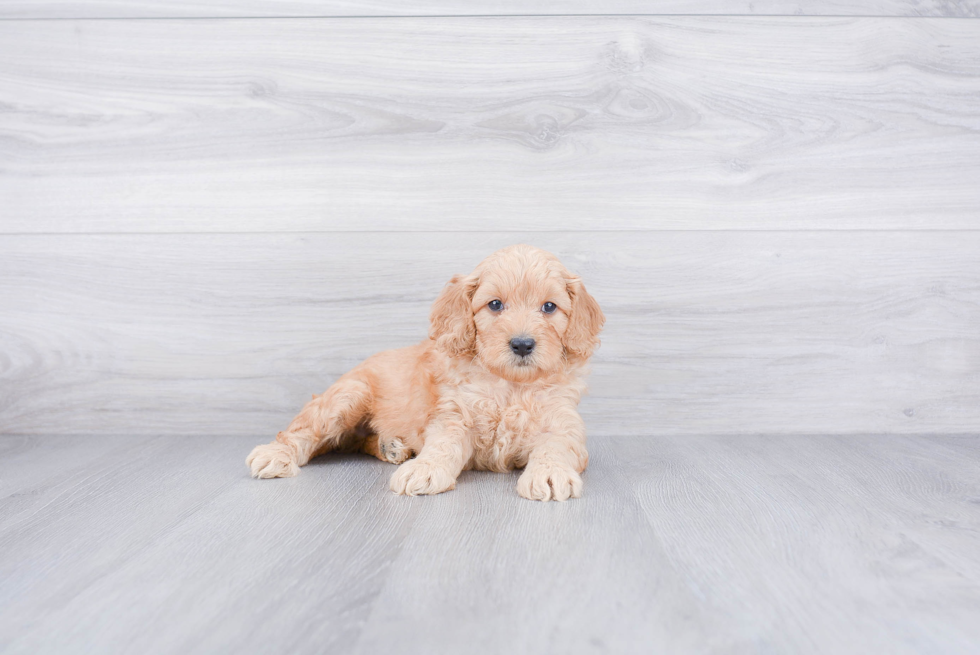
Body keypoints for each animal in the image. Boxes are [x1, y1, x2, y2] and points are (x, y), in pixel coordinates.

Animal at [245, 246, 604, 502]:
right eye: (495, 305)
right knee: (305, 432)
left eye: (549, 307)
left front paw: (549, 474)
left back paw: (391, 447)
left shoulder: (564, 423)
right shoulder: (453, 416)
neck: (510, 387)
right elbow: (442, 445)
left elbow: (555, 446)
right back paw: (277, 454)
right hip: (347, 396)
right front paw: (425, 469)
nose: (522, 344)